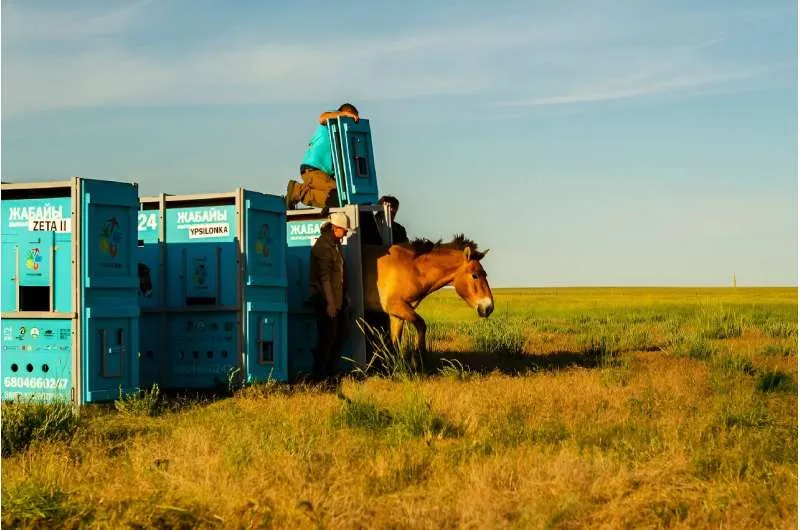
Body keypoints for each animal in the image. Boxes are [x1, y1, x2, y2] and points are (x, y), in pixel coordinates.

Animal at [364, 233, 494, 352]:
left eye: (485, 274)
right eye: (475, 275)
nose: (489, 307)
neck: (410, 268)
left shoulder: (397, 315)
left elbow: (396, 345)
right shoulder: (396, 306)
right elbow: (421, 326)